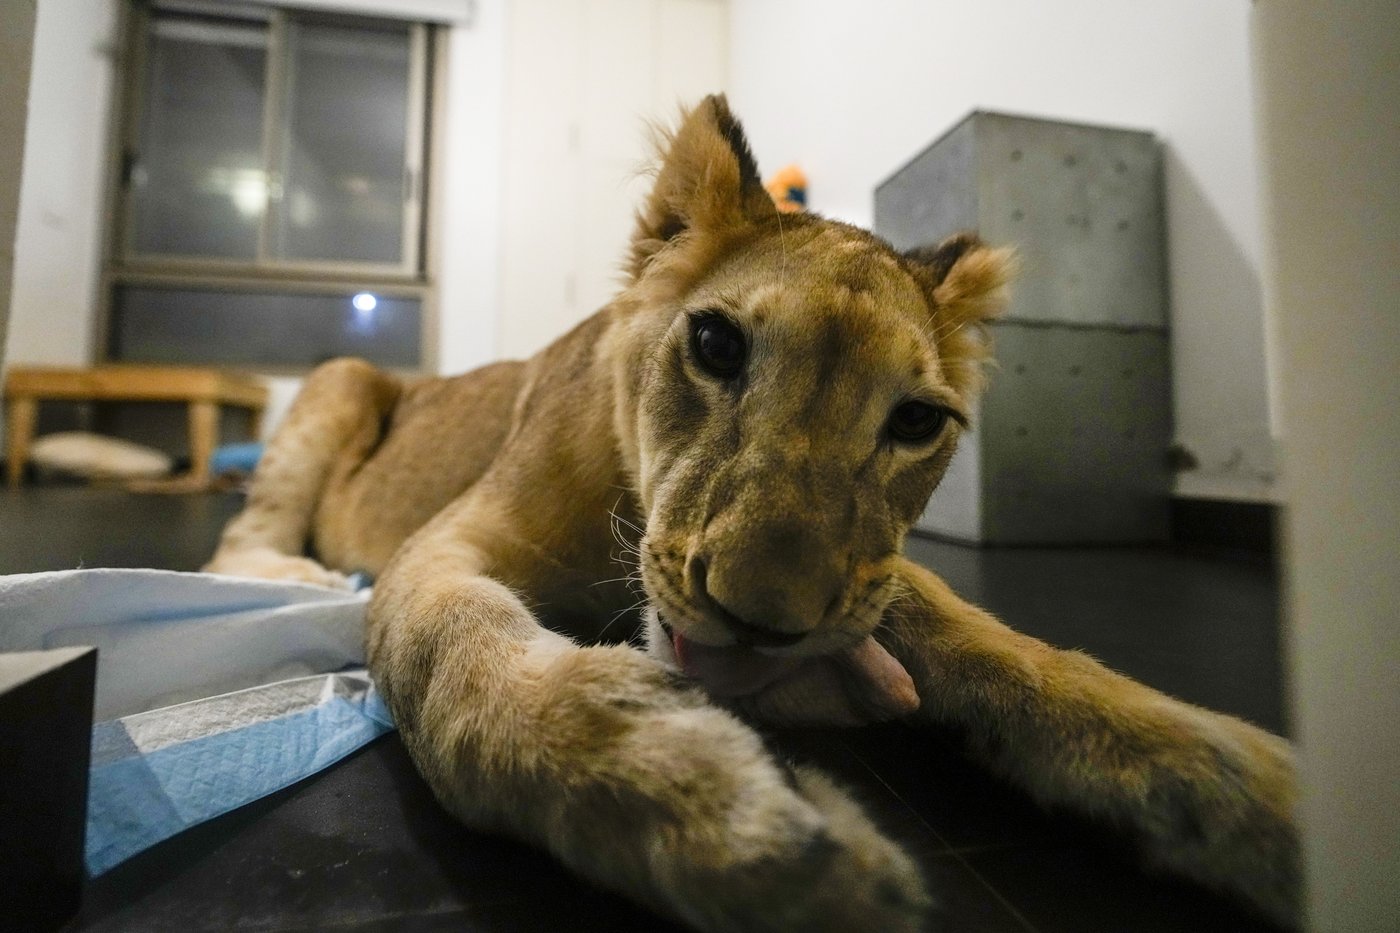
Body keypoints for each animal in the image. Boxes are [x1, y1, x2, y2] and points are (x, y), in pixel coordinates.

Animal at [205, 95, 1298, 931]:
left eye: (915, 420)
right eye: (716, 346)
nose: (765, 623)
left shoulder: (868, 575)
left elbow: (1005, 649)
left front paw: (1247, 791)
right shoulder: (444, 545)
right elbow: (458, 663)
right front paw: (715, 804)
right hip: (342, 376)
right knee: (237, 538)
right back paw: (299, 576)